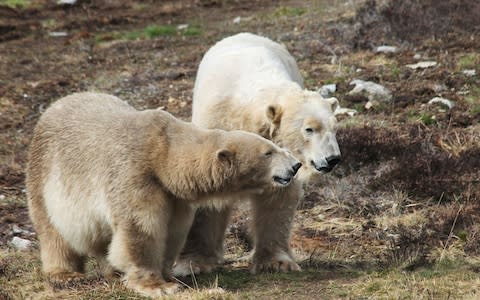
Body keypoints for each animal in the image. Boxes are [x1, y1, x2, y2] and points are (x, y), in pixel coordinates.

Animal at [26, 92, 300, 298]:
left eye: (274, 146)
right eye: (268, 152)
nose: (295, 165)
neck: (162, 153)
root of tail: (53, 106)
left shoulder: (173, 196)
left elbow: (172, 230)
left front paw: (167, 273)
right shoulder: (135, 175)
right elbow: (141, 227)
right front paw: (158, 286)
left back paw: (111, 271)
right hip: (45, 174)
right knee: (54, 231)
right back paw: (65, 274)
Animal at [177, 32, 342, 274]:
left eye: (334, 127)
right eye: (309, 129)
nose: (332, 159)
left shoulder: (279, 161)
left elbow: (277, 199)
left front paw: (277, 262)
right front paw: (194, 263)